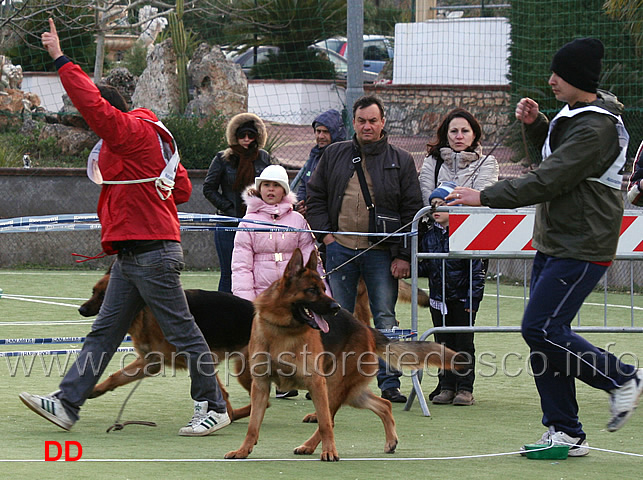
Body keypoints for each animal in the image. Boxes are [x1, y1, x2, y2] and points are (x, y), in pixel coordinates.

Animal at [77, 272, 254, 422]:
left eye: (103, 295)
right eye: (93, 292)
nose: (81, 309)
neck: (144, 312)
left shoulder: (200, 360)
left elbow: (219, 393)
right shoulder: (150, 363)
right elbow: (116, 376)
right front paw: (95, 389)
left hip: (246, 372)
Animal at [226, 248, 462, 462]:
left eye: (324, 289)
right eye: (311, 290)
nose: (336, 307)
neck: (282, 329)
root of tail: (367, 330)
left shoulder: (316, 384)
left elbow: (324, 423)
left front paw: (330, 452)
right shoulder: (261, 386)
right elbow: (253, 424)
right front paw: (243, 450)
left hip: (335, 386)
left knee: (329, 420)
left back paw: (312, 447)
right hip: (351, 392)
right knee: (383, 405)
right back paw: (390, 441)